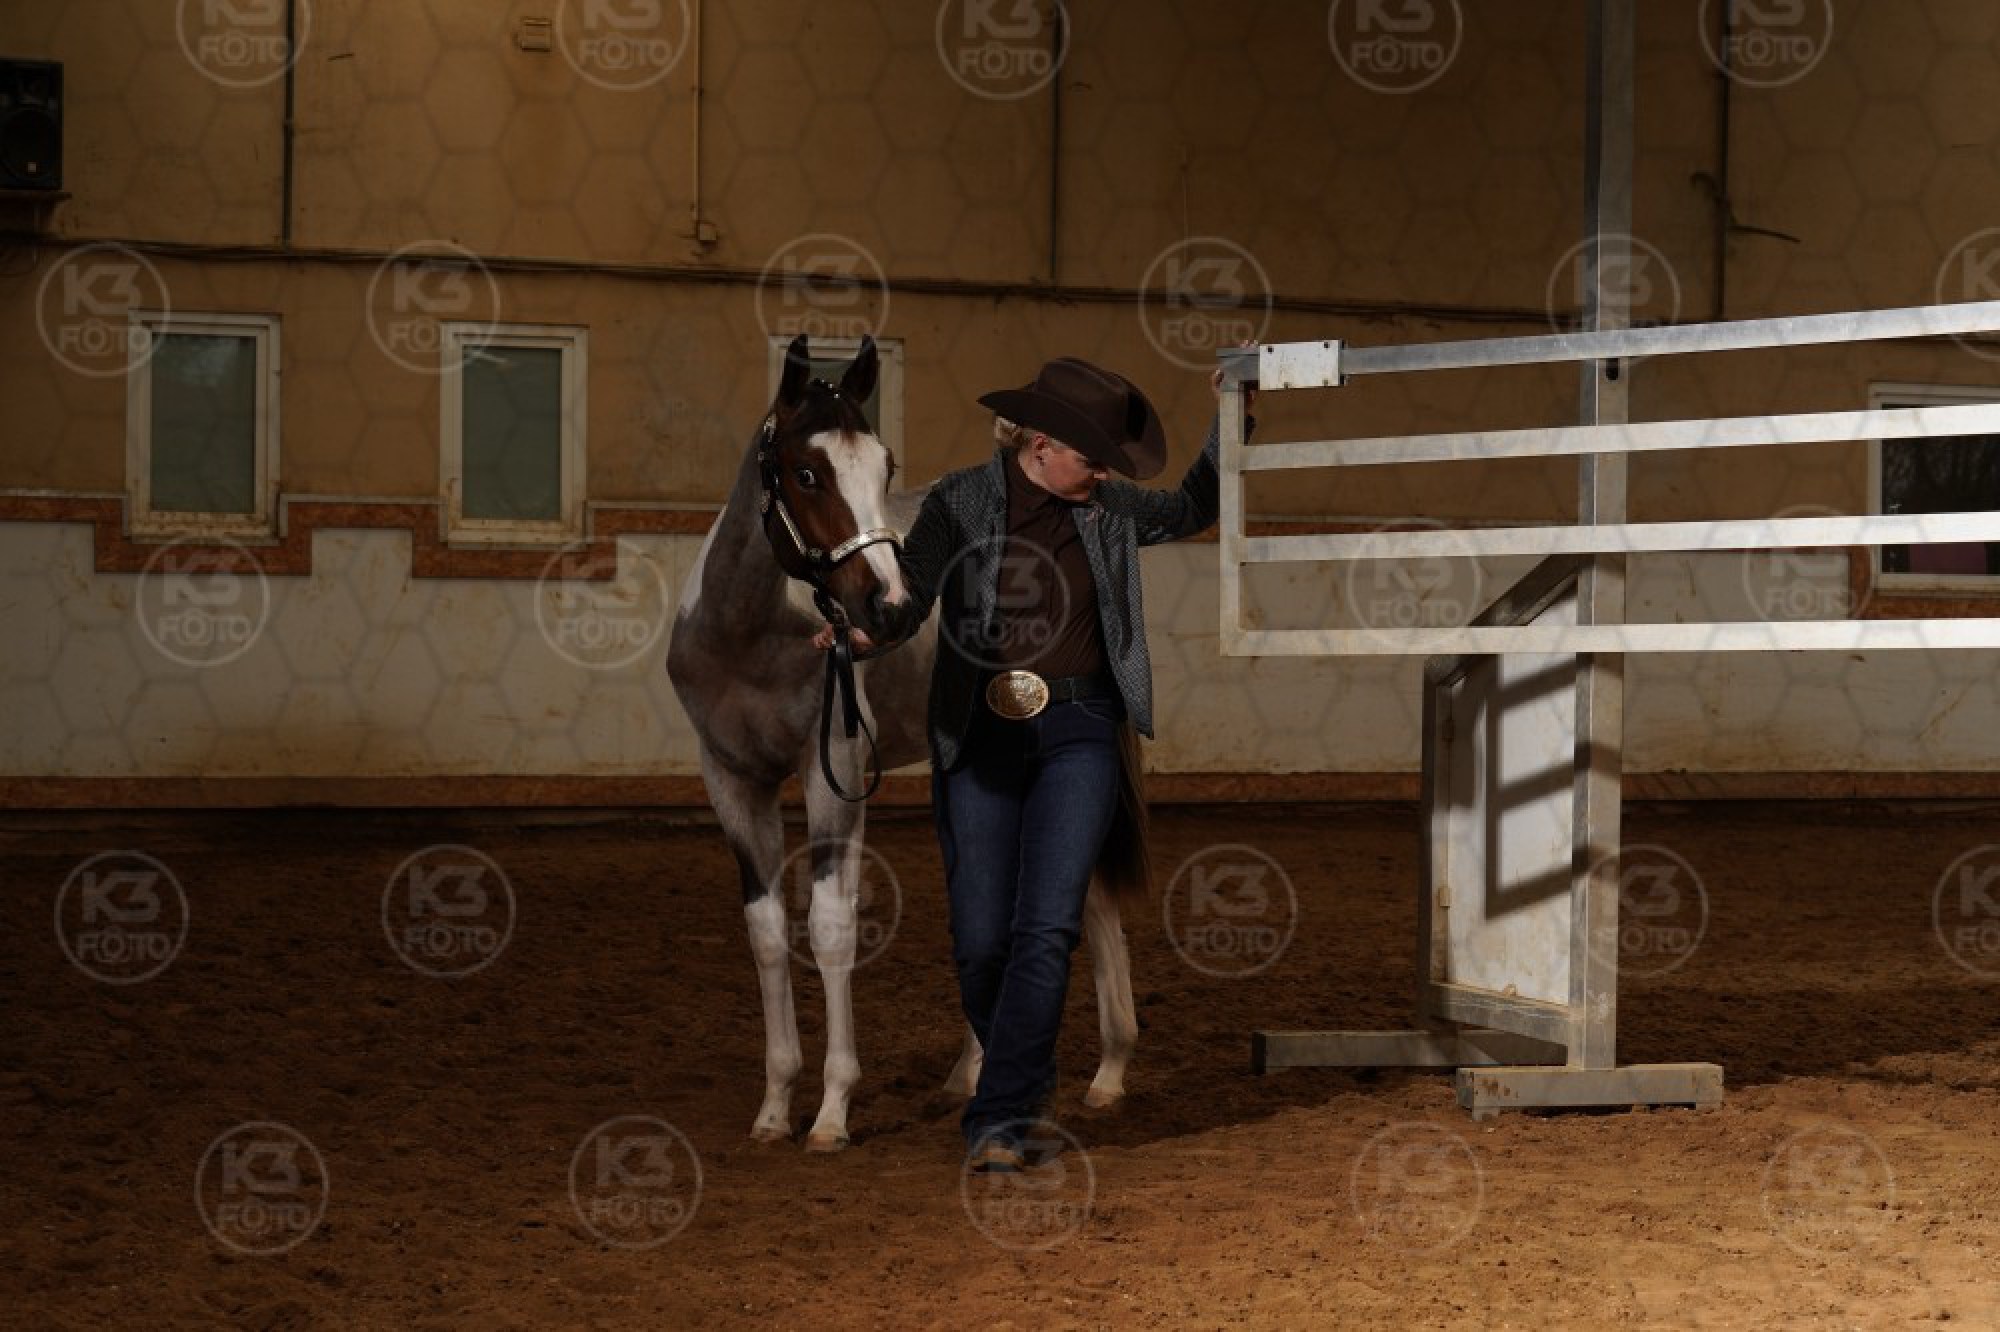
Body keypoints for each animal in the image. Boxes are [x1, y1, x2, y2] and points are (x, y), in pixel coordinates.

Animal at [666, 334, 1142, 1152]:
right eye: (807, 472)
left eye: (884, 468)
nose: (885, 606)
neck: (751, 637)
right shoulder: (730, 779)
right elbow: (767, 932)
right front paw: (774, 1107)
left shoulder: (833, 771)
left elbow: (828, 928)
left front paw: (830, 1112)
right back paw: (973, 1074)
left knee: (1095, 894)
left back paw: (1107, 1076)